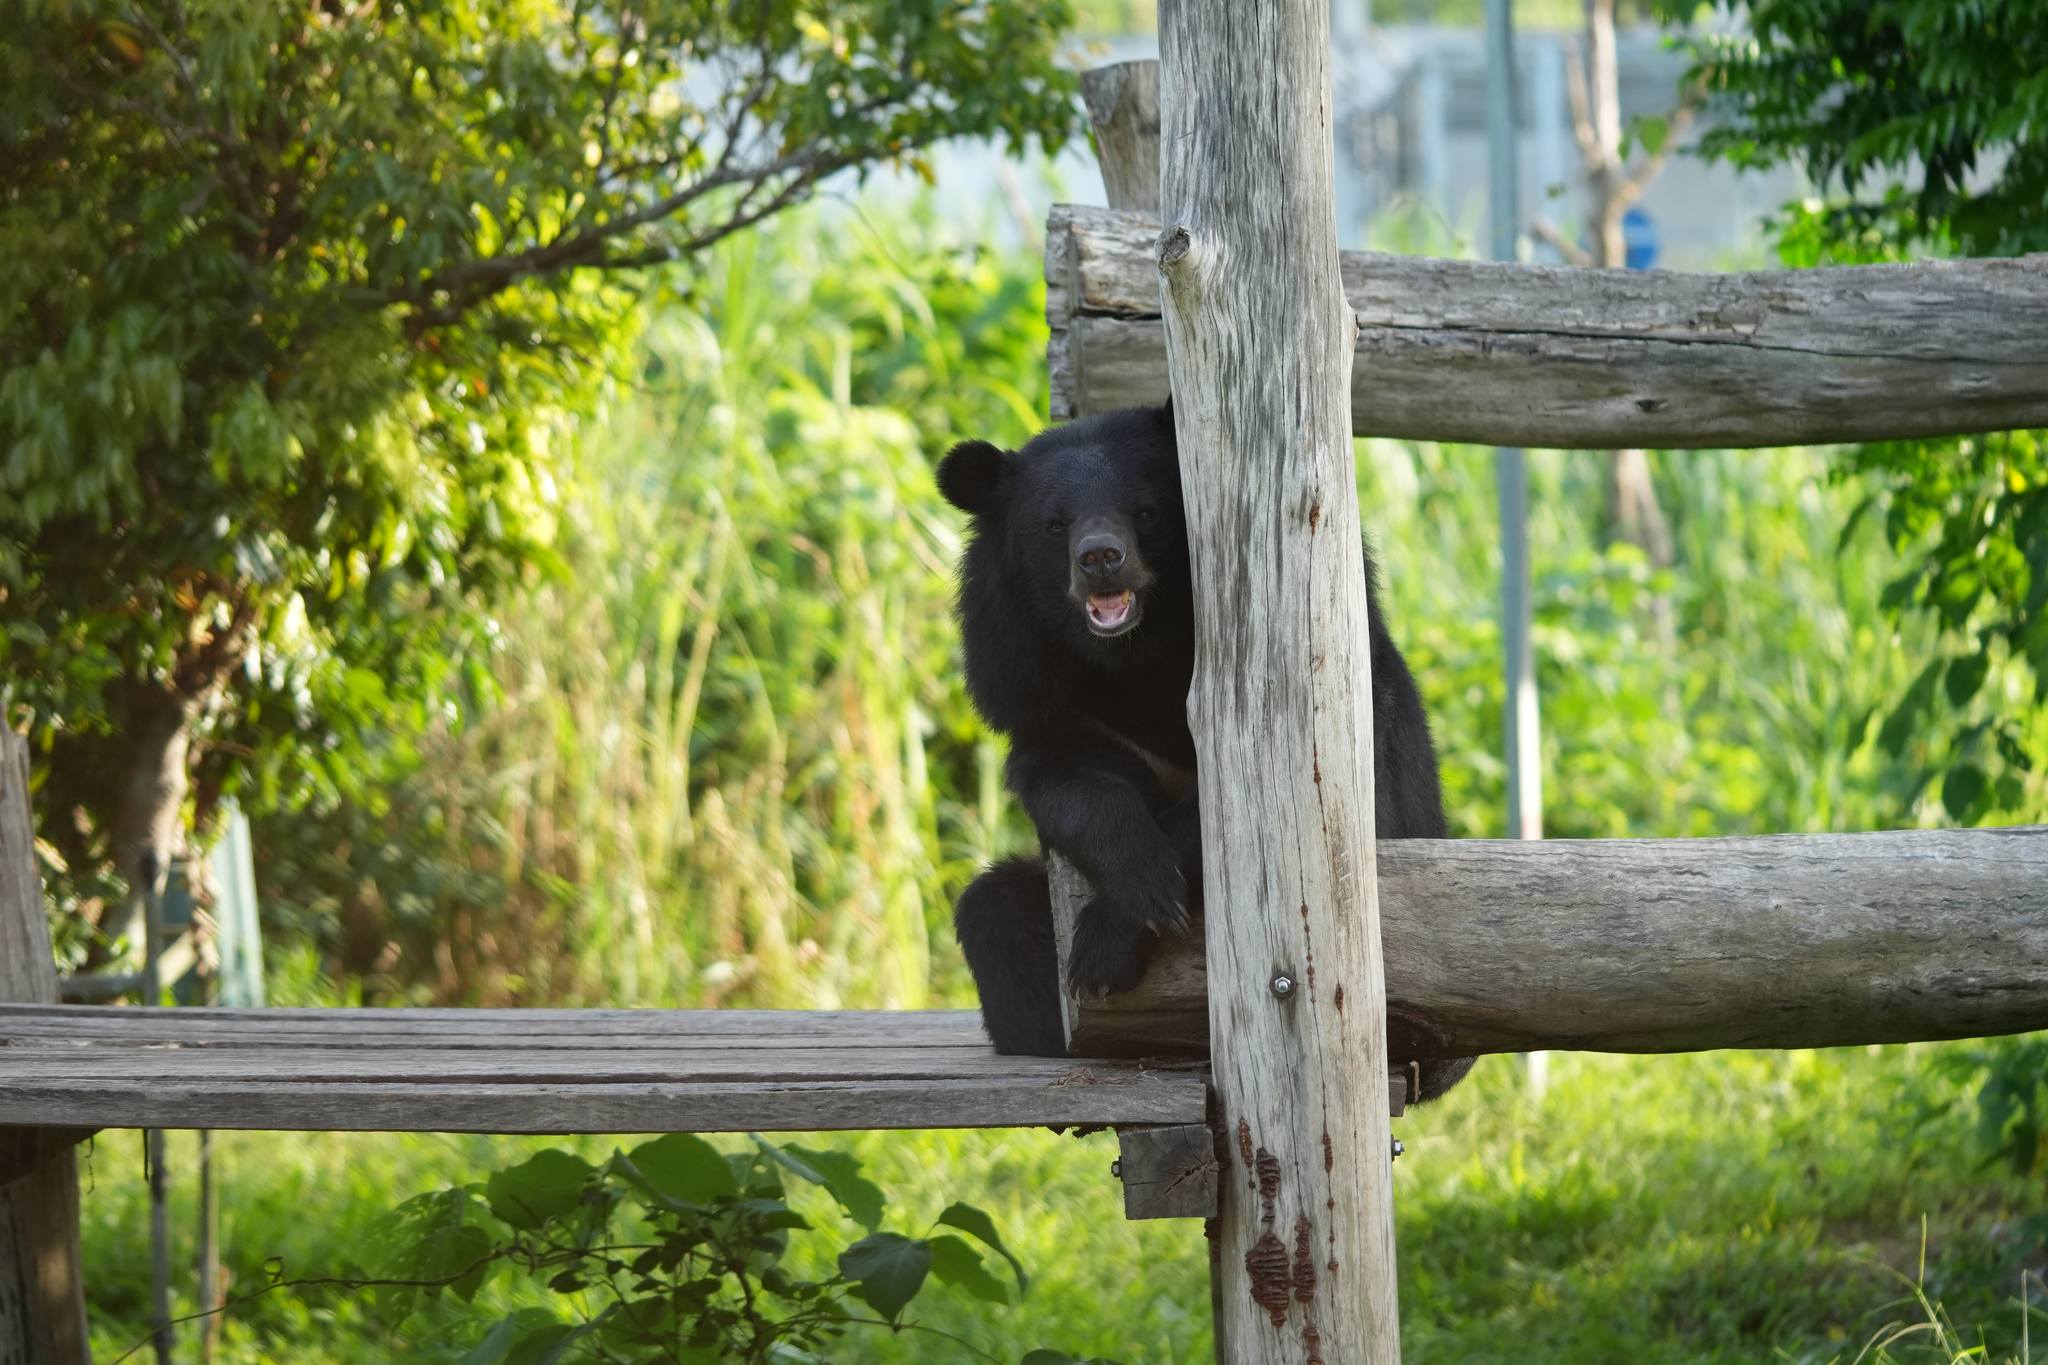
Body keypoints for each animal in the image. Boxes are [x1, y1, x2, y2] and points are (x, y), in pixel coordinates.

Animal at [942, 401, 1474, 1105]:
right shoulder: (1029, 676)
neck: (1134, 655)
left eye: (1143, 511)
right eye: (1054, 525)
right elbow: (1065, 781)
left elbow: (1243, 817)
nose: (1101, 558)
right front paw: (1138, 887)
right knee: (991, 916)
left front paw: (1108, 940)